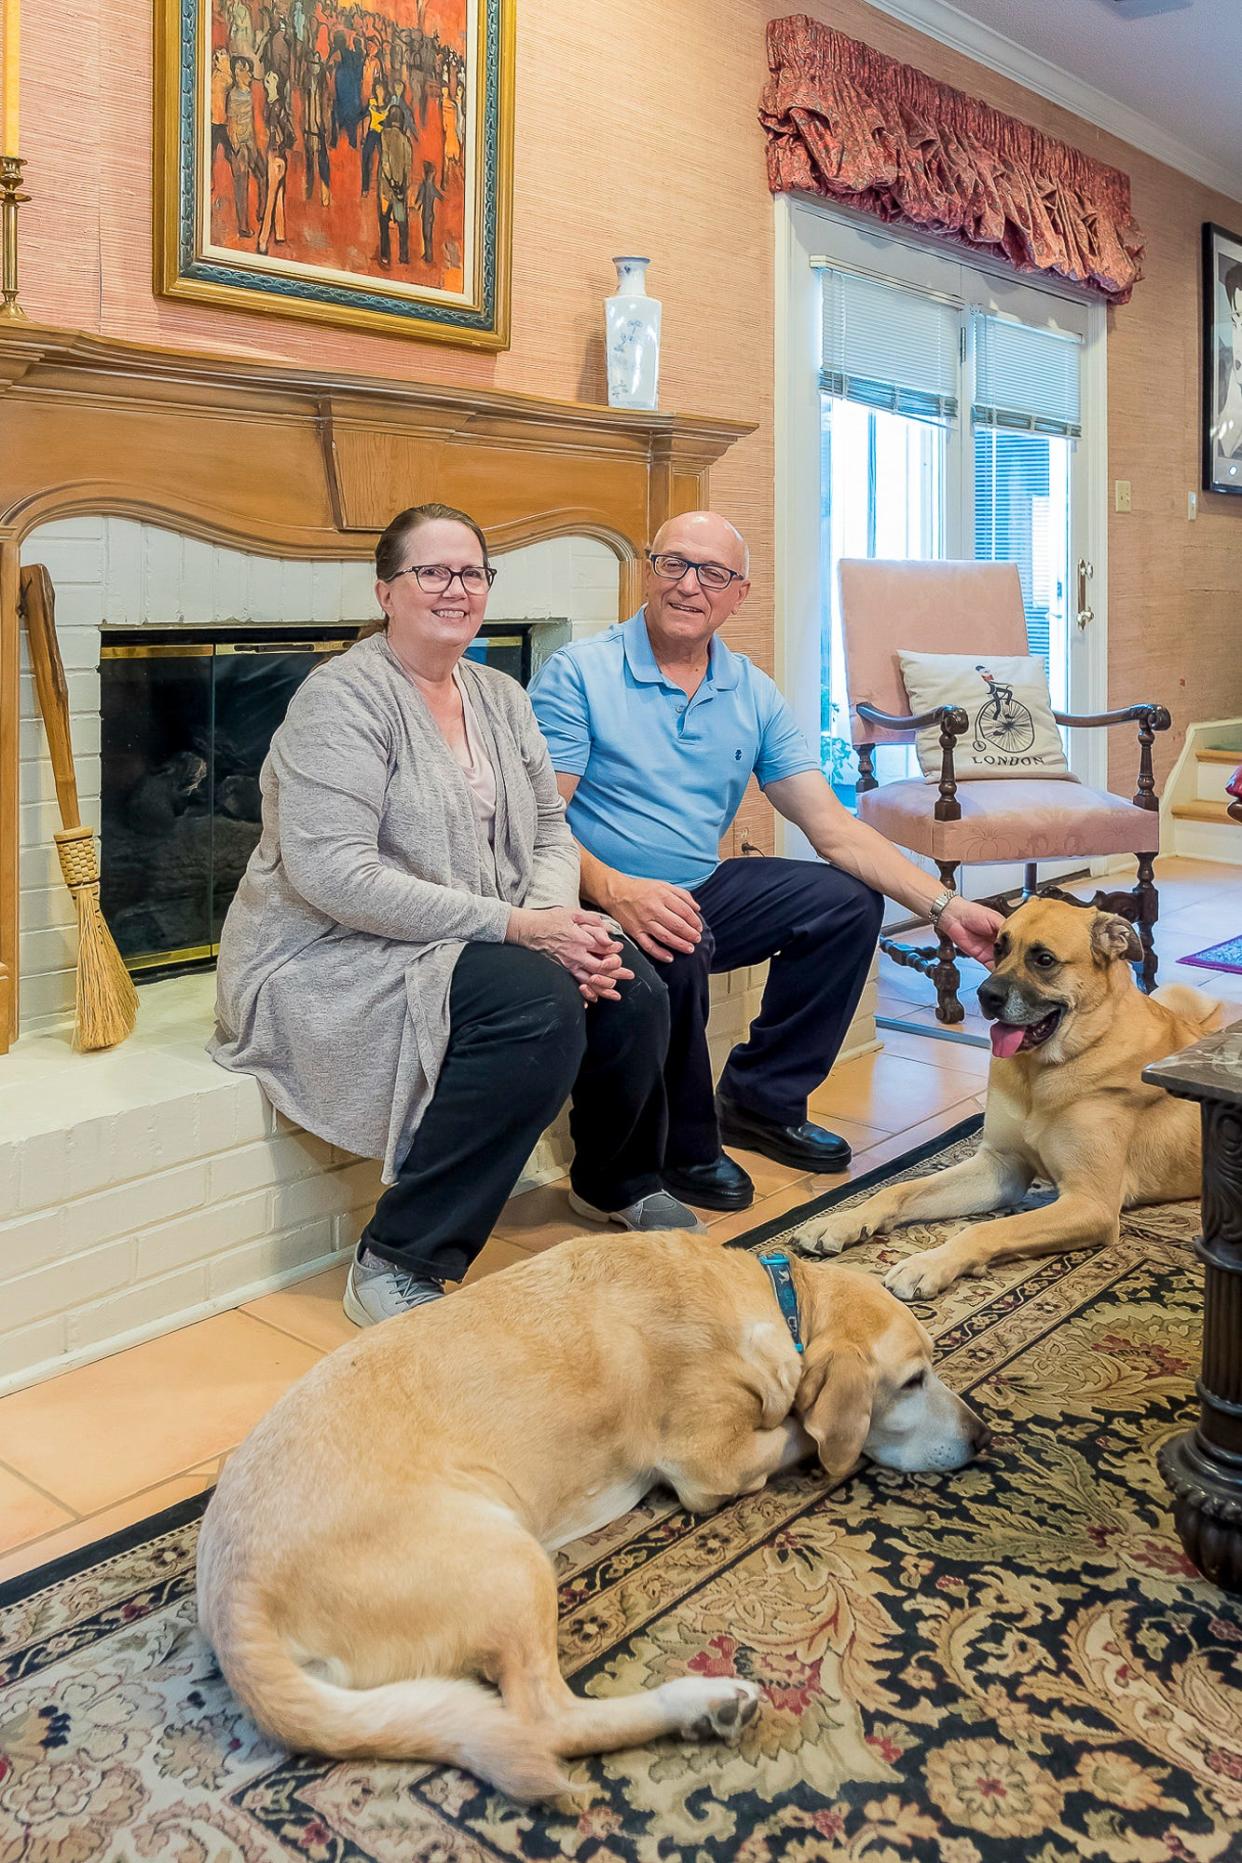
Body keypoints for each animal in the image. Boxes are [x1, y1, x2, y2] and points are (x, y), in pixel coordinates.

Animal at [196, 1229, 990, 1795]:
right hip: (511, 1560)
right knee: (546, 1719)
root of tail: (236, 1610)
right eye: (912, 1380)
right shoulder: (712, 1462)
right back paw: (700, 1703)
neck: (777, 1302)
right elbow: (798, 1429)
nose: (983, 1436)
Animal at [796, 894, 1221, 1304]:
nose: (985, 996)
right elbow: (898, 1189)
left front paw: (926, 1264)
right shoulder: (1000, 1167)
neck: (1046, 1070)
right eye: (999, 948)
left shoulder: (1090, 1203)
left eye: (1044, 959)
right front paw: (842, 1220)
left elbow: (987, 1229)